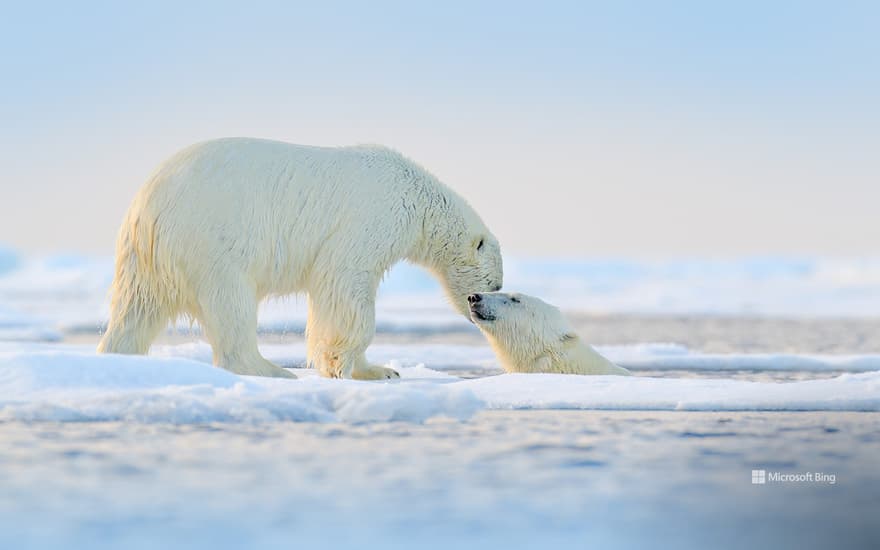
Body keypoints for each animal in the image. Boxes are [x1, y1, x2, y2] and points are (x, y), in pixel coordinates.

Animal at [98, 137, 502, 380]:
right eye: (494, 283)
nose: (476, 308)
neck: (416, 197)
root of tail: (145, 205)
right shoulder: (370, 220)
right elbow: (345, 284)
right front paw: (351, 367)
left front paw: (382, 370)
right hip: (209, 239)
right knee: (231, 304)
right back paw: (271, 369)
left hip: (147, 259)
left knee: (136, 310)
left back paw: (118, 358)